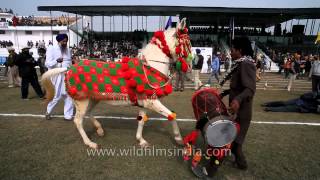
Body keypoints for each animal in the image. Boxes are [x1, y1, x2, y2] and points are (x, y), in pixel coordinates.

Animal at [41, 17, 191, 149]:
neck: (150, 67)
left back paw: (99, 129)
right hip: (82, 100)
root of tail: (68, 68)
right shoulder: (152, 101)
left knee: (88, 113)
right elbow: (172, 116)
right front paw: (179, 139)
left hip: (93, 98)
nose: (189, 65)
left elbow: (142, 120)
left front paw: (141, 140)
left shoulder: (145, 102)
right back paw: (90, 143)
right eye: (187, 42)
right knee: (78, 121)